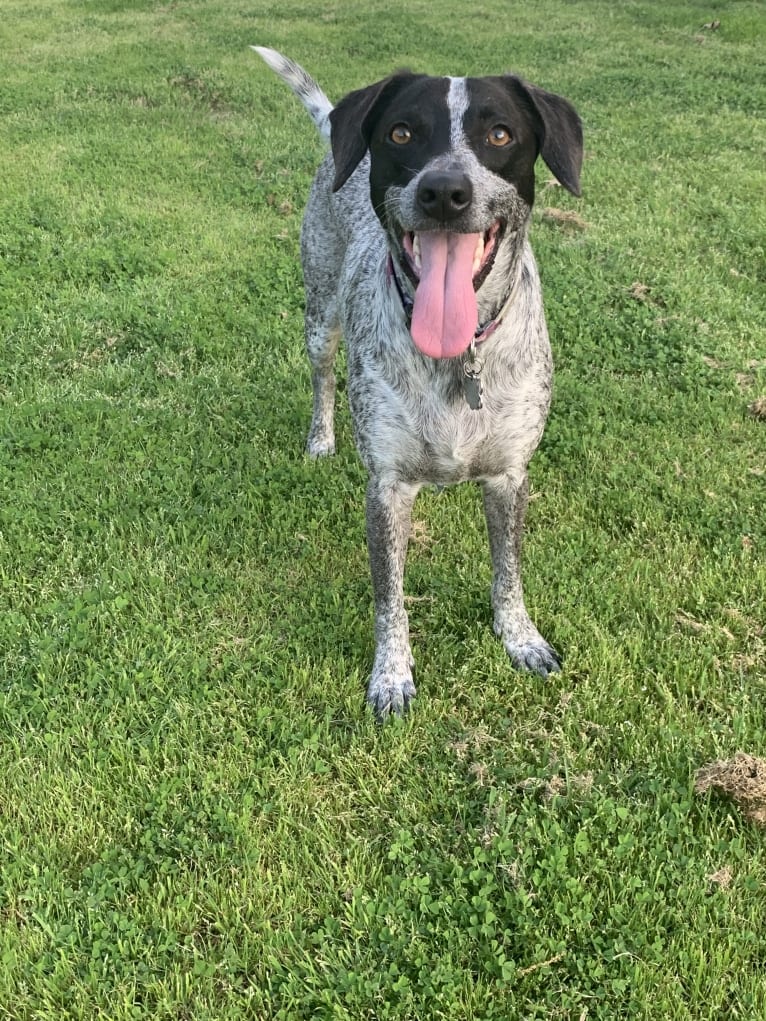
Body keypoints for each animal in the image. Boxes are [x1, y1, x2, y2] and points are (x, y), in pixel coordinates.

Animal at [255, 49, 584, 718]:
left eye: (500, 135)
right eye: (402, 133)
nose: (444, 191)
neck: (456, 357)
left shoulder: (510, 476)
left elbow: (508, 572)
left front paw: (520, 639)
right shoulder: (387, 488)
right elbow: (390, 598)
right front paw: (391, 674)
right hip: (320, 312)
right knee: (322, 376)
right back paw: (320, 439)